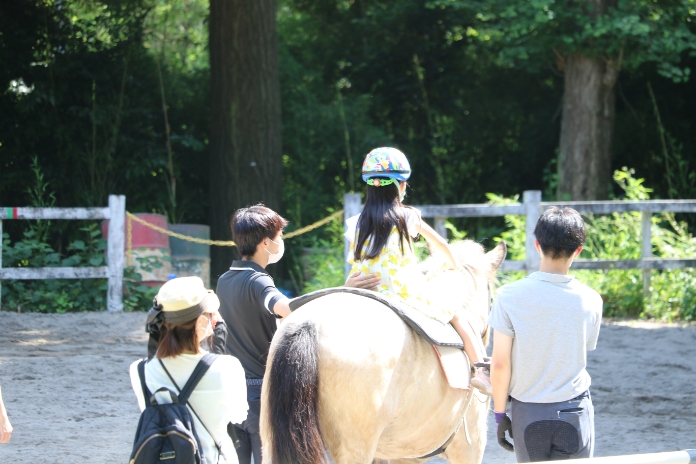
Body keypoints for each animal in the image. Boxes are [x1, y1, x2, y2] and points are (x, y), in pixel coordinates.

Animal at [260, 241, 506, 462]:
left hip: (271, 441)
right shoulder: (469, 447)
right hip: (355, 448)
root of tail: (309, 324)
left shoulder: (403, 455)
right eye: (492, 298)